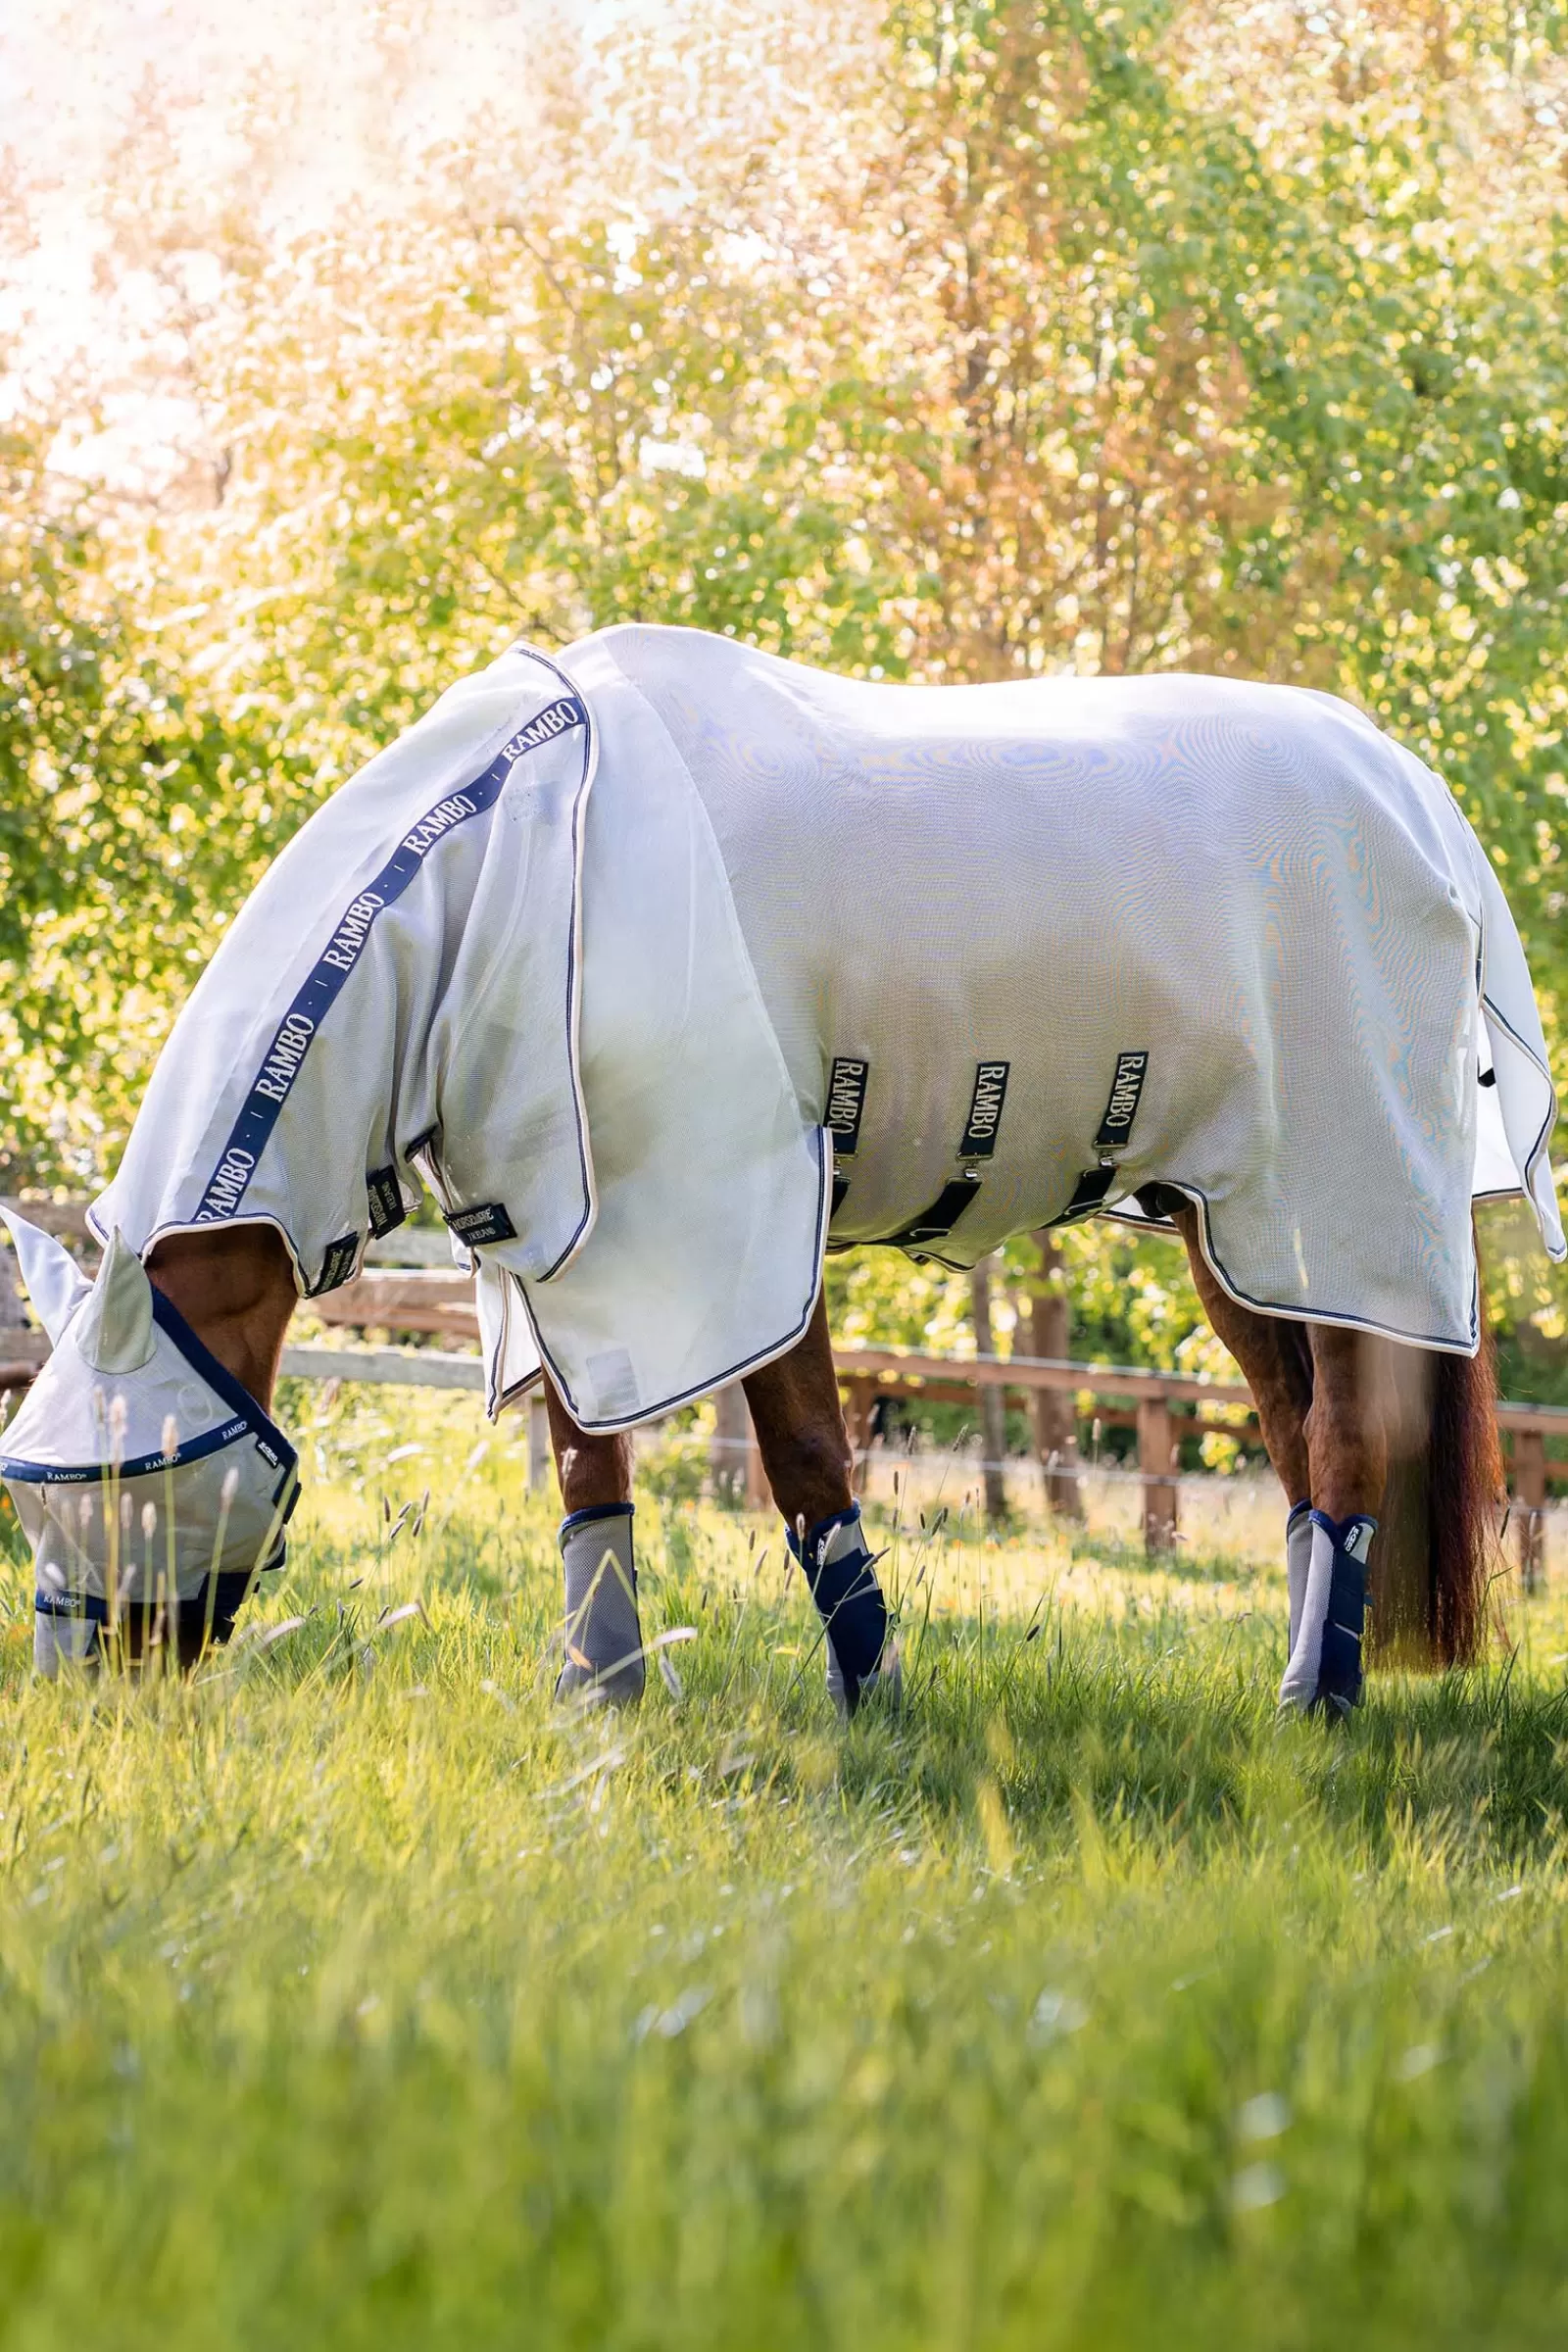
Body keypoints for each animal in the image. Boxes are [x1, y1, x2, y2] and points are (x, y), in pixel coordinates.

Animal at [6, 625, 1560, 1721]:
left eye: (130, 1477)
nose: (94, 1693)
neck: (521, 863)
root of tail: (1410, 788)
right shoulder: (564, 1248)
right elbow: (585, 1469)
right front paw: (604, 1697)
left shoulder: (730, 1212)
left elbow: (805, 1457)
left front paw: (870, 1704)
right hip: (1227, 1222)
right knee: (1296, 1435)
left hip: (1337, 1203)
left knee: (1345, 1433)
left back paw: (1318, 1704)